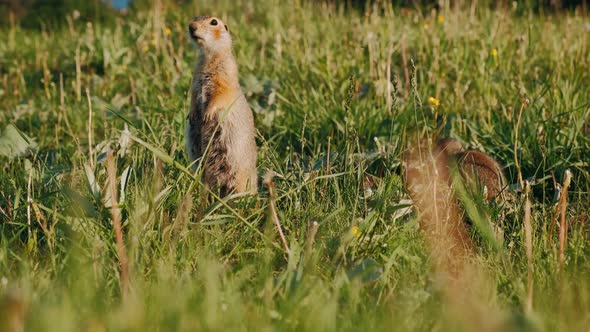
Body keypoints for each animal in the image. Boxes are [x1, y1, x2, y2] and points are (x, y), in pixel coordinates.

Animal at [186, 15, 258, 196]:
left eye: (214, 22)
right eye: (195, 18)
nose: (191, 26)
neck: (209, 57)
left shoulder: (226, 77)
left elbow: (220, 96)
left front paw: (206, 115)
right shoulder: (195, 80)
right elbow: (193, 96)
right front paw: (192, 115)